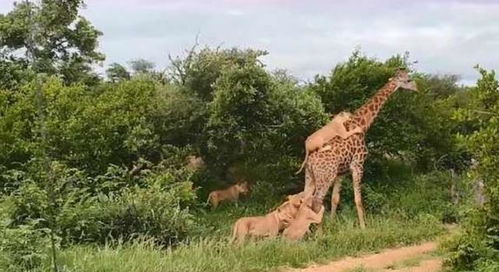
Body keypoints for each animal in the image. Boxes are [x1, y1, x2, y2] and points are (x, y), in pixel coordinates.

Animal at [304, 68, 418, 227]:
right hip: (325, 177)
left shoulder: (342, 172)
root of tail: (309, 161)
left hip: (310, 176)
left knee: (305, 200)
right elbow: (358, 199)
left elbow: (335, 198)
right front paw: (364, 227)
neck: (362, 124)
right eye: (407, 79)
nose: (416, 88)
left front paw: (332, 224)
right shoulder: (358, 165)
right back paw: (319, 231)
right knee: (316, 202)